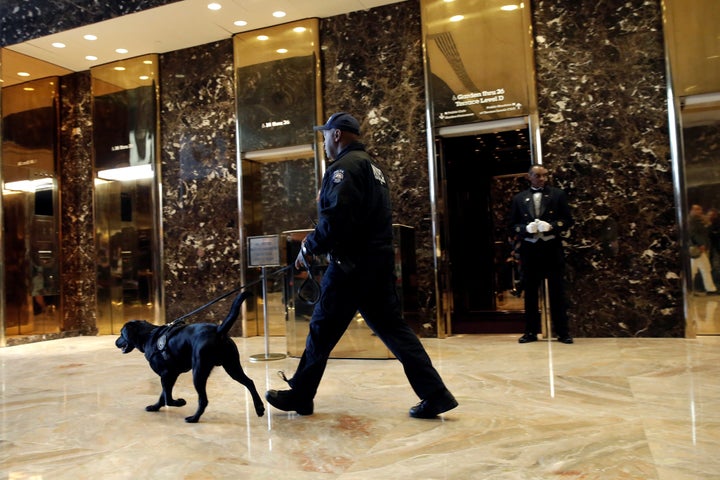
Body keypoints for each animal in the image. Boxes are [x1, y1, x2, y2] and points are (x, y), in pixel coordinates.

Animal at [115, 290, 264, 422]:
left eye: (121, 333)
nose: (116, 342)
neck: (149, 336)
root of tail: (218, 330)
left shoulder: (166, 374)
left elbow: (168, 398)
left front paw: (179, 402)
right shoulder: (170, 375)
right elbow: (163, 395)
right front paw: (155, 406)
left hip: (198, 372)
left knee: (203, 400)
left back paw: (194, 418)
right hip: (232, 367)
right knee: (249, 382)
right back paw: (259, 407)